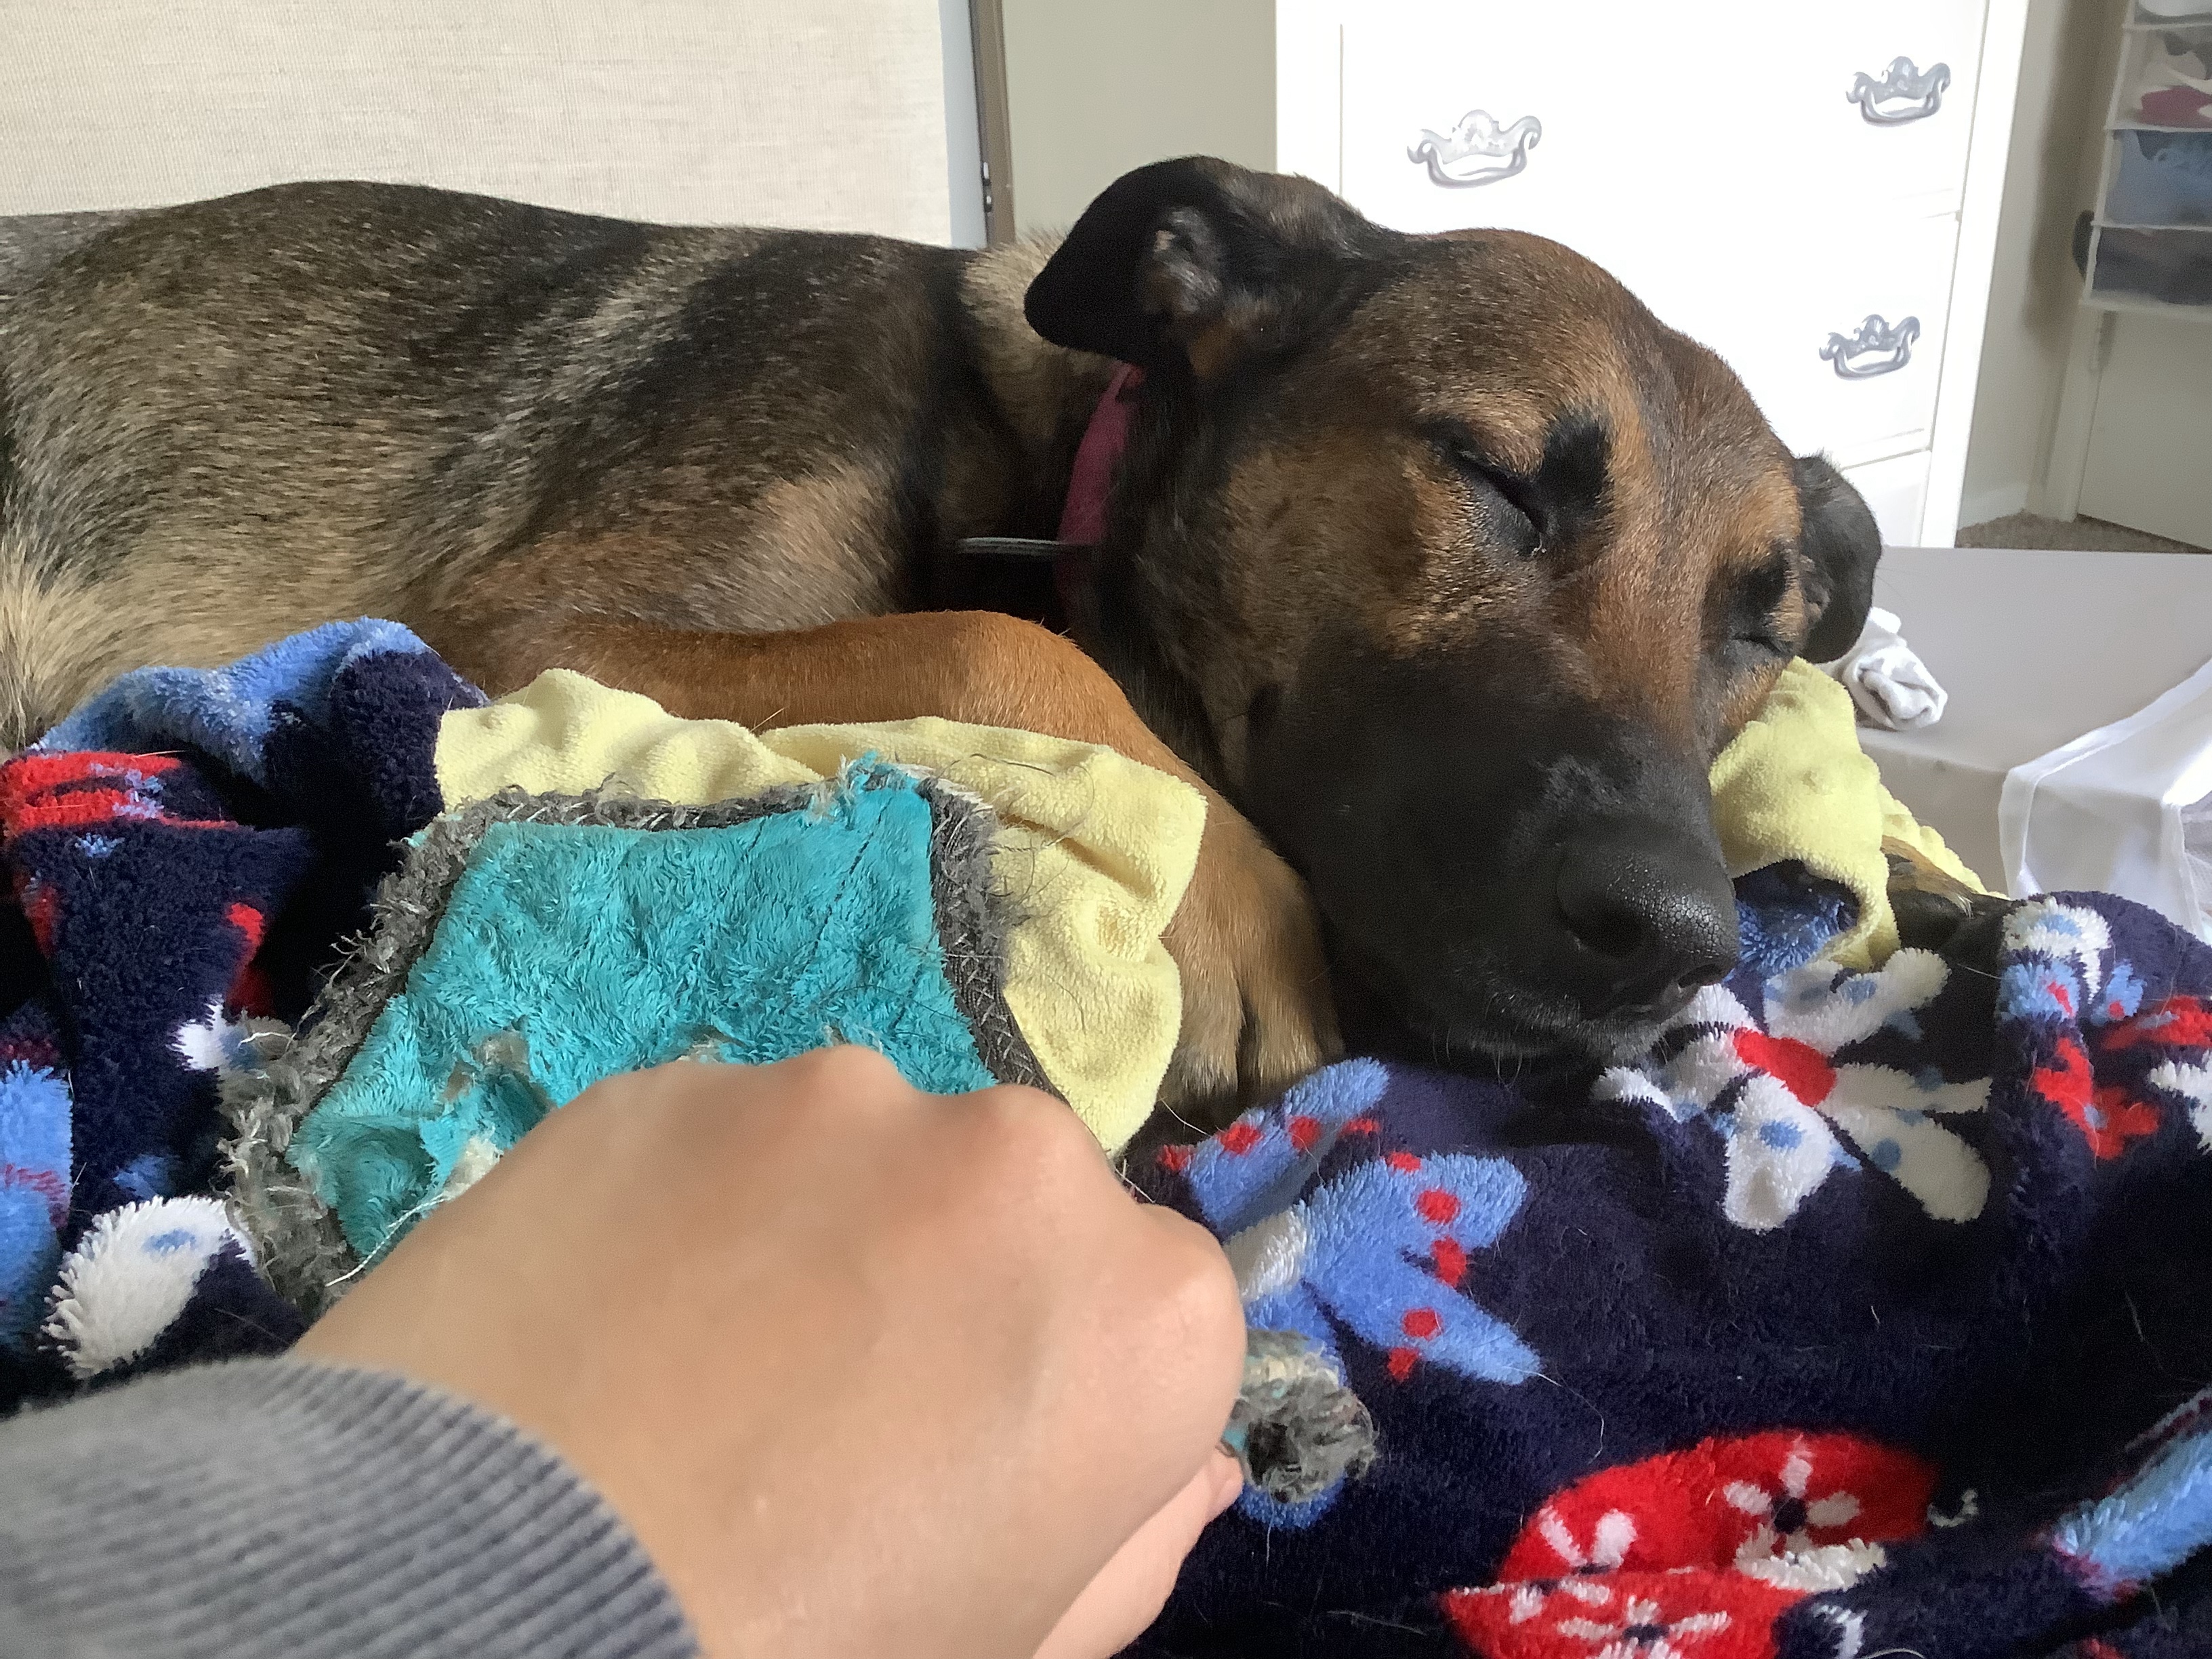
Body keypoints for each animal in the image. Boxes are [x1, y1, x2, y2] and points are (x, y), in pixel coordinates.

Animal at [0, 157, 1879, 1117]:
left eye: (1761, 628)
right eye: (1492, 477)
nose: (1676, 943)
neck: (1046, 453)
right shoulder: (522, 618)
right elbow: (989, 632)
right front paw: (1229, 900)